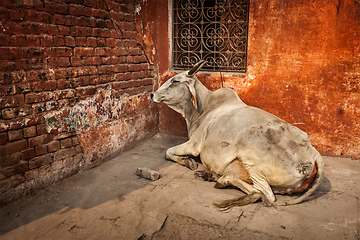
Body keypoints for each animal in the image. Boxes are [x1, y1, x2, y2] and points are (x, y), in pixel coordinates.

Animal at [150, 60, 324, 210]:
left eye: (175, 81)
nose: (152, 94)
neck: (204, 108)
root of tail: (313, 152)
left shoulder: (194, 145)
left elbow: (167, 152)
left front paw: (188, 162)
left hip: (250, 153)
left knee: (262, 193)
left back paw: (222, 179)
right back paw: (210, 175)